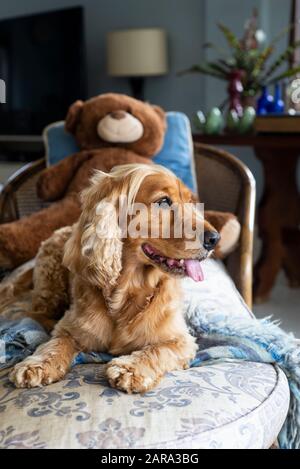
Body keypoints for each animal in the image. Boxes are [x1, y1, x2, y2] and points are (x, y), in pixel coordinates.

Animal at [9, 163, 220, 394]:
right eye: (164, 202)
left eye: (191, 202)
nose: (214, 238)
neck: (128, 290)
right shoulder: (70, 328)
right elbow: (55, 344)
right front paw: (36, 364)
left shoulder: (181, 340)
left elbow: (157, 350)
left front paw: (130, 369)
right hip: (50, 286)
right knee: (35, 313)